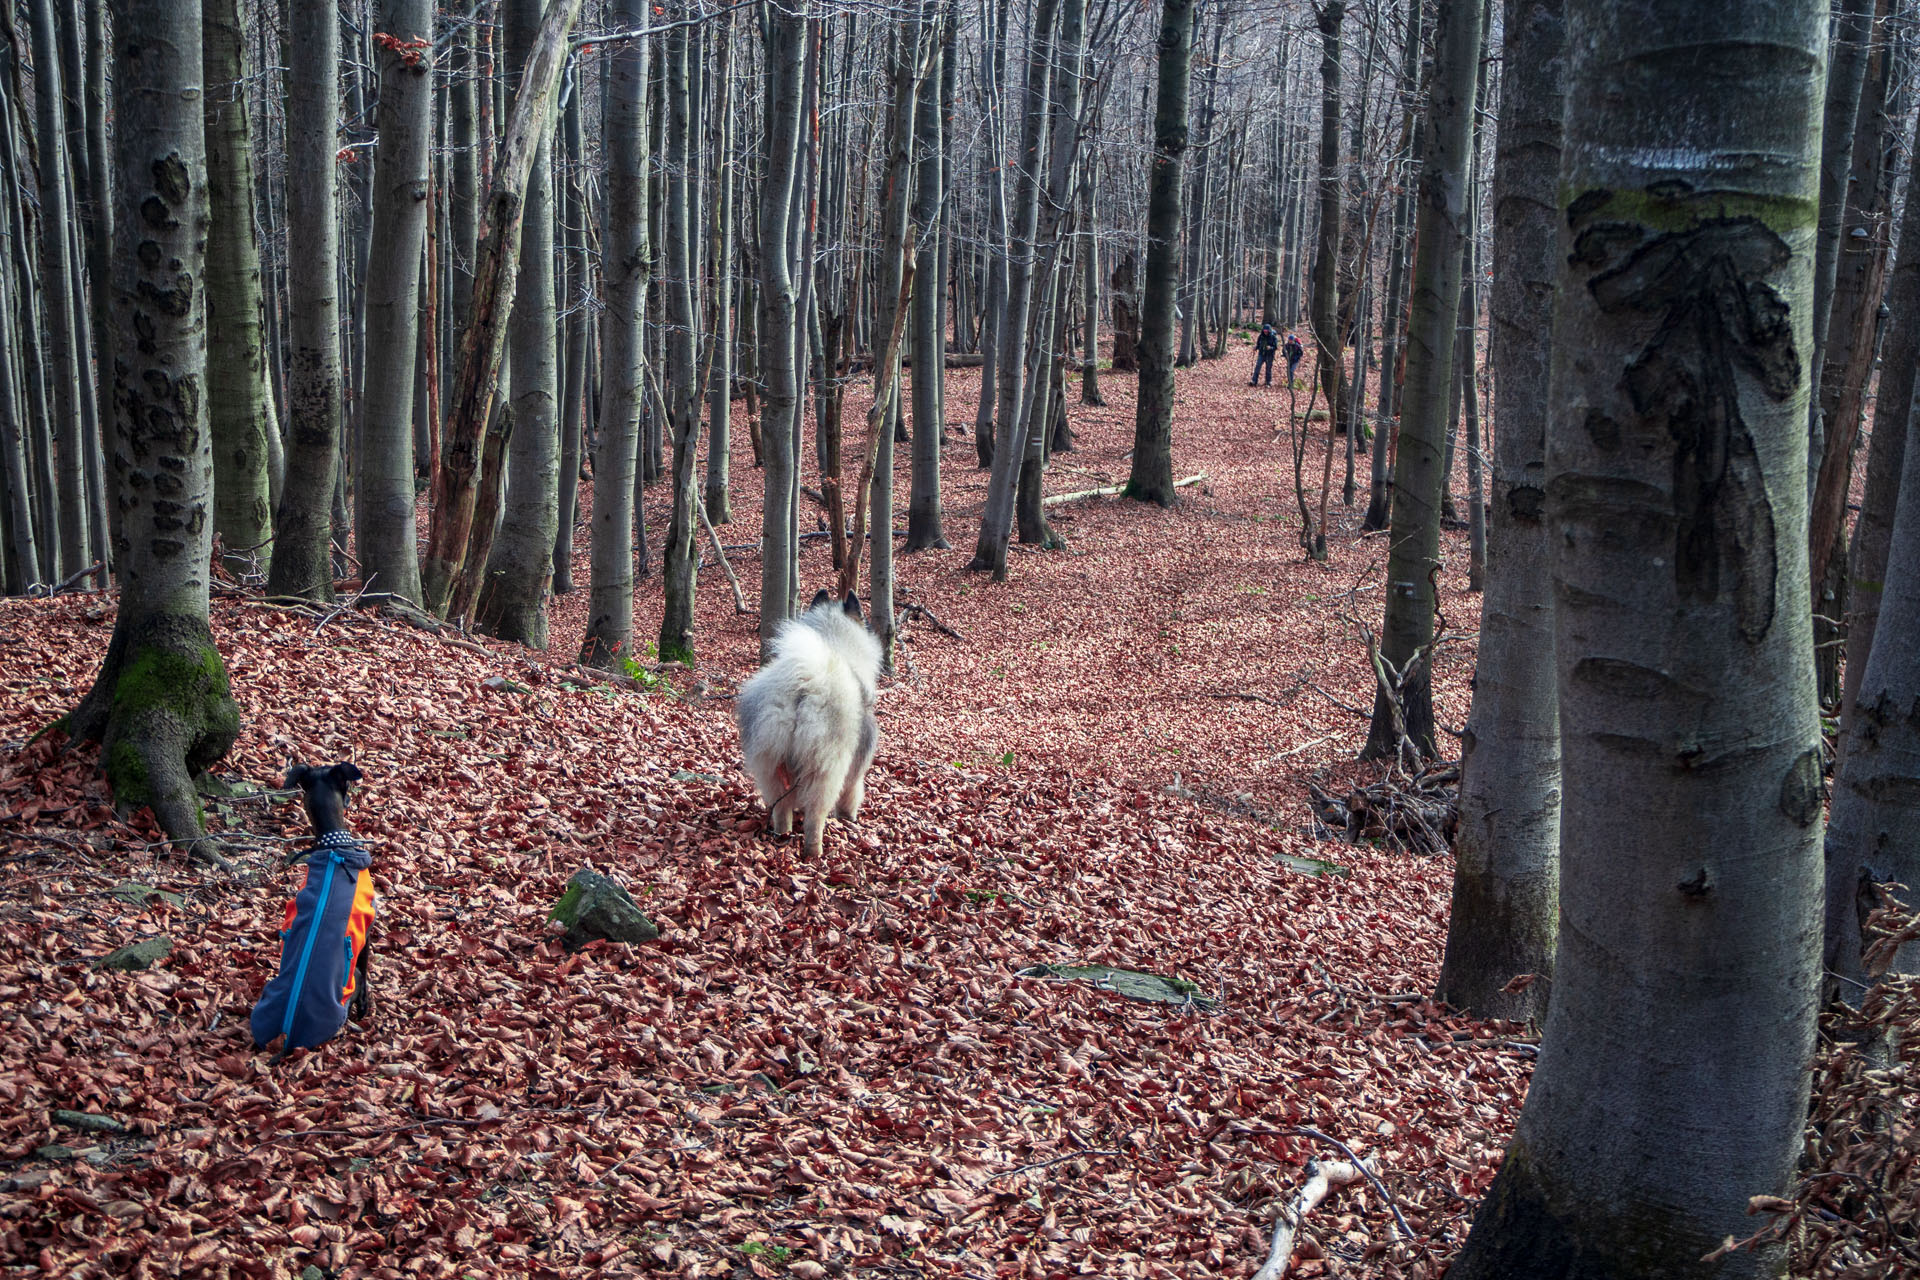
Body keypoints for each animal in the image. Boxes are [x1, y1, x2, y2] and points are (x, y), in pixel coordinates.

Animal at [249, 759, 376, 1059]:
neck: (335, 847)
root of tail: (287, 1037)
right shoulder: (366, 932)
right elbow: (367, 970)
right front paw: (366, 1008)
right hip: (349, 982)